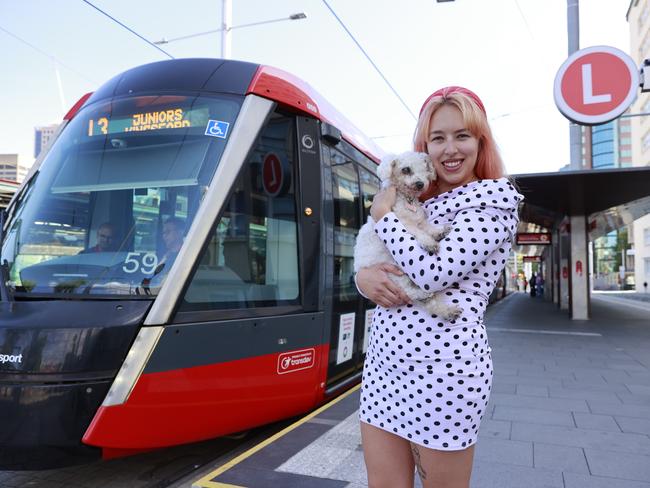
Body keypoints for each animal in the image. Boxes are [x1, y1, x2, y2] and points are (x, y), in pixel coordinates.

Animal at [354, 152, 460, 320]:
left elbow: (427, 228)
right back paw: (424, 293)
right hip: (395, 273)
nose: (420, 184)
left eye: (424, 169)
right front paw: (429, 243)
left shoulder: (420, 221)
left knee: (430, 303)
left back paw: (447, 310)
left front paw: (439, 232)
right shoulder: (404, 223)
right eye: (406, 169)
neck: (406, 199)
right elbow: (420, 233)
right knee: (409, 292)